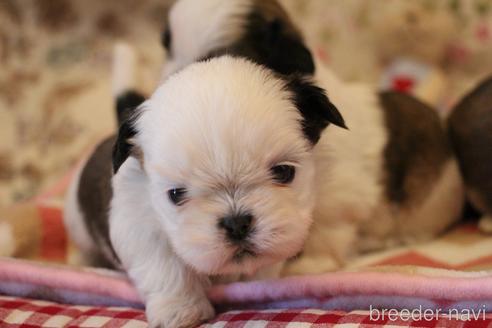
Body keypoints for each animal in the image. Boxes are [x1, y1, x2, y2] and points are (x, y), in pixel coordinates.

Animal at [63, 53, 346, 326]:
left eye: (284, 172)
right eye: (176, 194)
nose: (236, 223)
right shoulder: (137, 221)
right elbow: (163, 265)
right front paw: (180, 310)